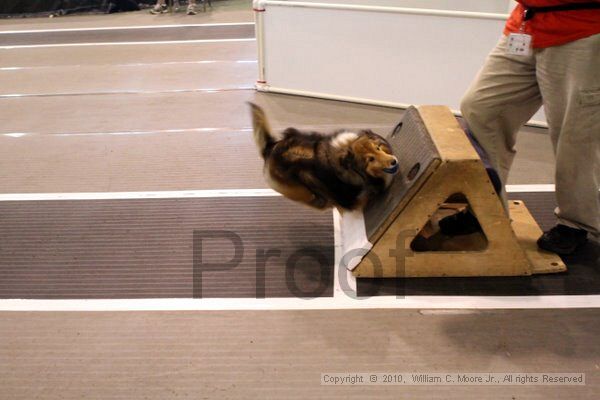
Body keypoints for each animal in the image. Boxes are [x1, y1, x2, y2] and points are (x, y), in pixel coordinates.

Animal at [248, 101, 398, 211]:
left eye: (378, 148)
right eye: (370, 159)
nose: (393, 162)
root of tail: (270, 146)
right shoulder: (349, 200)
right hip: (300, 188)